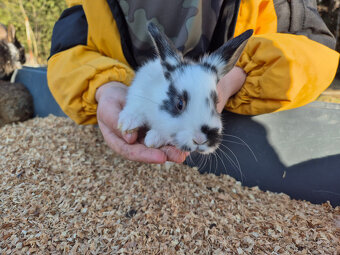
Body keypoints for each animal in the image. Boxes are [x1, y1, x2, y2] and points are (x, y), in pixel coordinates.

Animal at [117, 23, 252, 153]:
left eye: (216, 103)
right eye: (179, 104)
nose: (200, 140)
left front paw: (154, 138)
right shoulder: (140, 87)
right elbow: (136, 106)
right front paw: (127, 123)